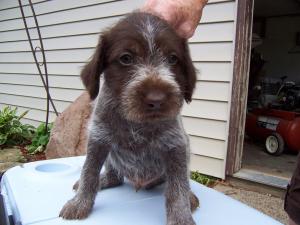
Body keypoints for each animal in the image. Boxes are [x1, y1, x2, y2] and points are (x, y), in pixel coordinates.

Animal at [59, 12, 198, 225]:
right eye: (126, 58)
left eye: (173, 59)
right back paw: (104, 180)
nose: (156, 100)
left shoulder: (176, 146)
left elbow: (178, 187)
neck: (136, 121)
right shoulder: (98, 139)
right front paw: (80, 202)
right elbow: (88, 172)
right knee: (115, 177)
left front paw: (181, 216)